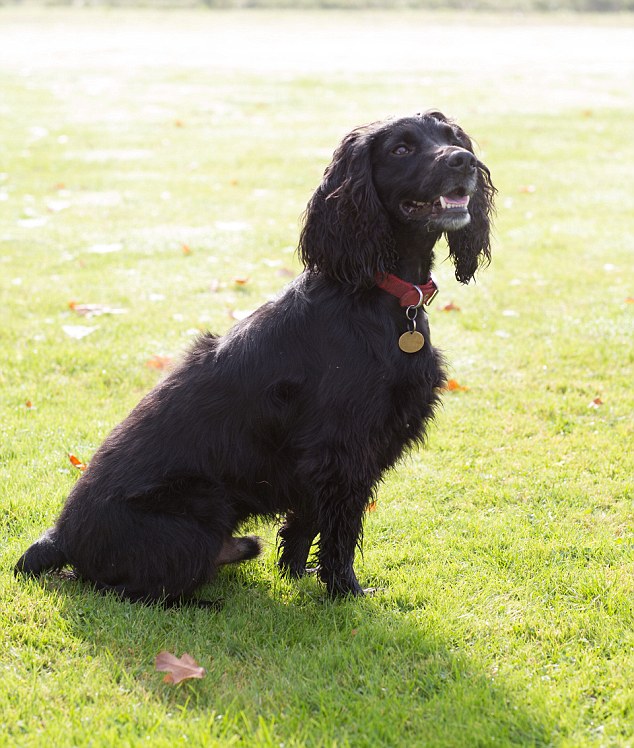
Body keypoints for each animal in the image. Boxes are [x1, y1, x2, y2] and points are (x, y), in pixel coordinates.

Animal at [16, 109, 494, 600]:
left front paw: (296, 574)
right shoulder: (341, 449)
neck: (376, 294)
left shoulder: (323, 459)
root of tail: (60, 536)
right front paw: (344, 592)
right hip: (201, 503)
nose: (463, 161)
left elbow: (306, 521)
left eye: (452, 138)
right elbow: (339, 531)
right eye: (401, 149)